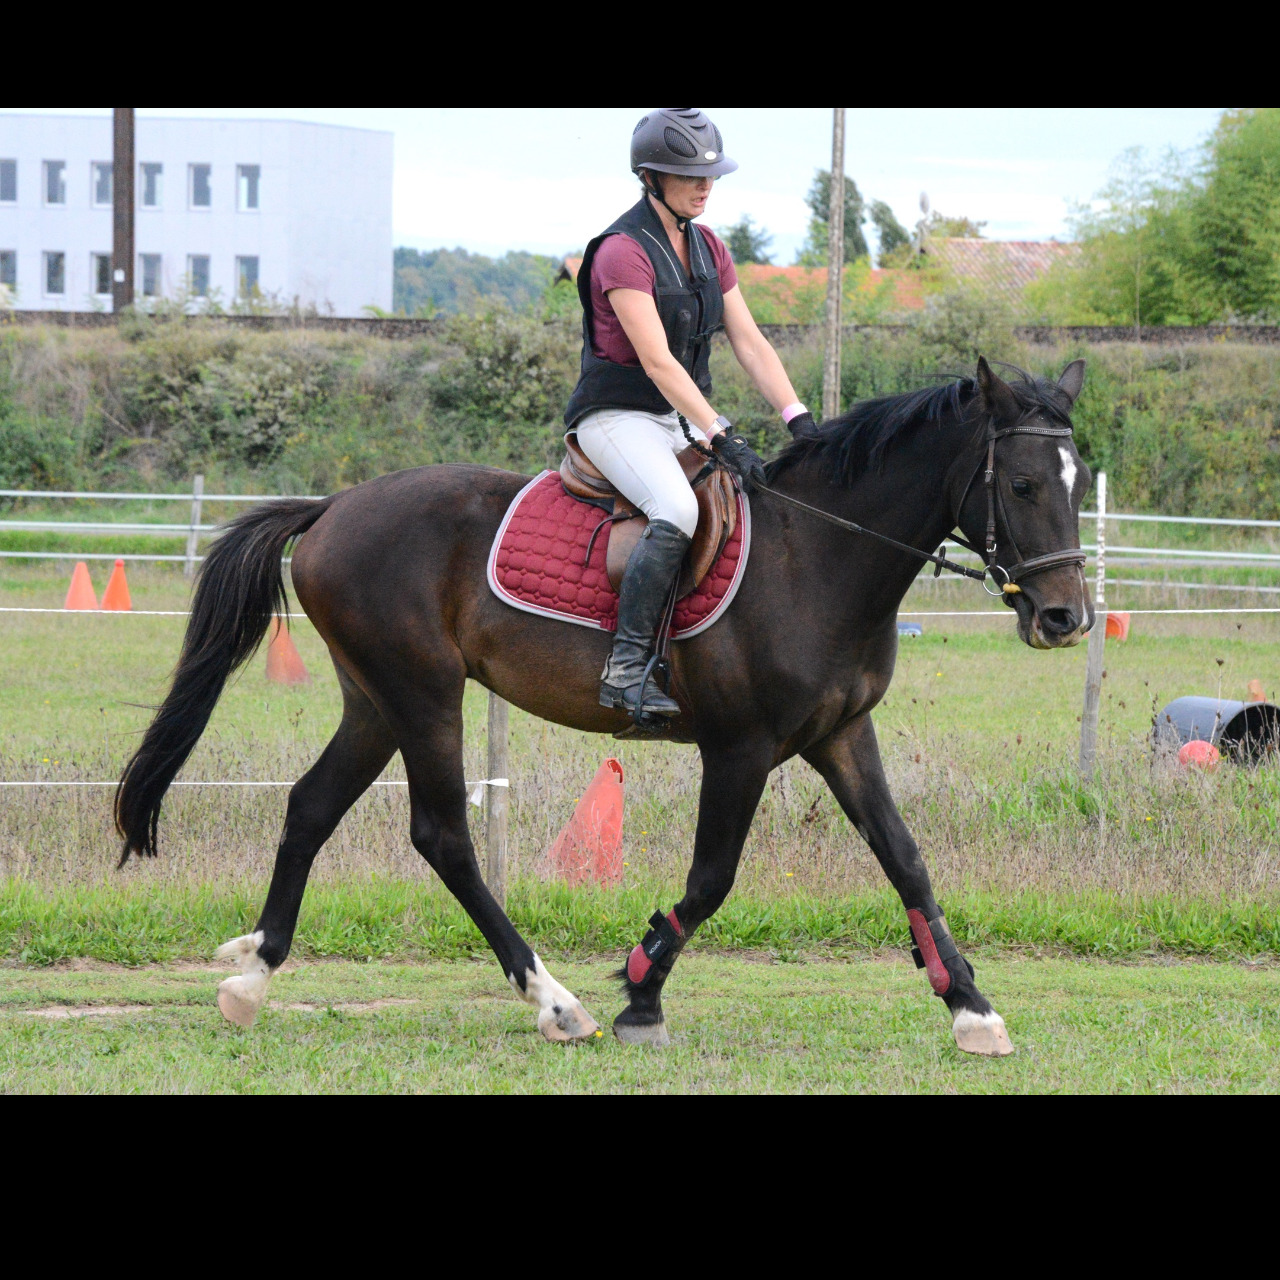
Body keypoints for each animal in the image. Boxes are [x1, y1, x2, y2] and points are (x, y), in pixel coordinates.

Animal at [117, 355, 1090, 1054]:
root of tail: (334, 507)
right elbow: (711, 879)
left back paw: (253, 978)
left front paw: (971, 1007)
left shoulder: (843, 735)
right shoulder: (740, 748)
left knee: (311, 806)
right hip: (423, 696)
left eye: (1080, 482)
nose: (1065, 618)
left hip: (374, 701)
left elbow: (906, 860)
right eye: (1023, 485)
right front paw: (641, 991)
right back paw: (555, 1003)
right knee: (444, 838)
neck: (816, 555)